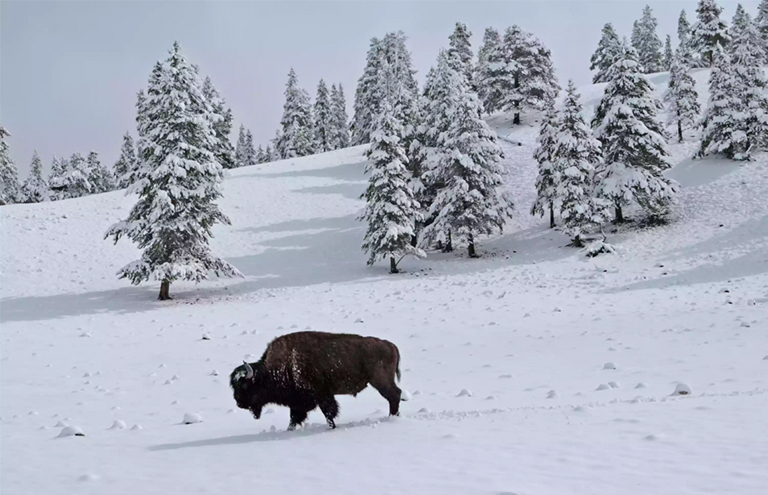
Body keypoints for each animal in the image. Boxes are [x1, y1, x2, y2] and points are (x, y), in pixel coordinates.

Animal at [231, 332, 404, 432]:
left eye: (245, 386)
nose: (239, 403)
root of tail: (391, 345)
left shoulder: (321, 396)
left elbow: (328, 413)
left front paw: (331, 428)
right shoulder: (299, 403)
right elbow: (294, 418)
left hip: (380, 381)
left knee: (394, 395)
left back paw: (392, 418)